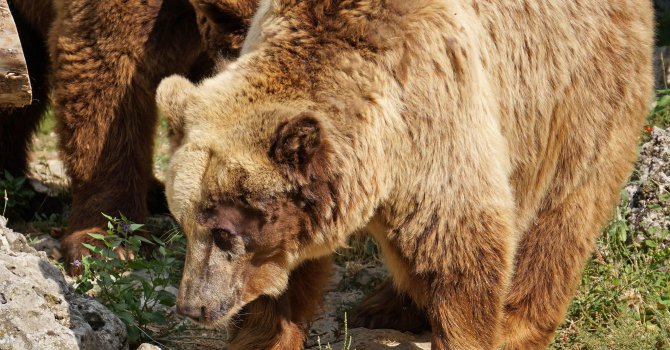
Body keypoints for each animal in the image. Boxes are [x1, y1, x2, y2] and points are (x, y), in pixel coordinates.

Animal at [156, 0, 652, 348]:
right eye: (185, 222)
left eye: (223, 232)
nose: (192, 306)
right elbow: (282, 286)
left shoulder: (438, 113)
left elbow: (460, 247)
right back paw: (383, 307)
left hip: (574, 90)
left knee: (563, 212)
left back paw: (515, 326)